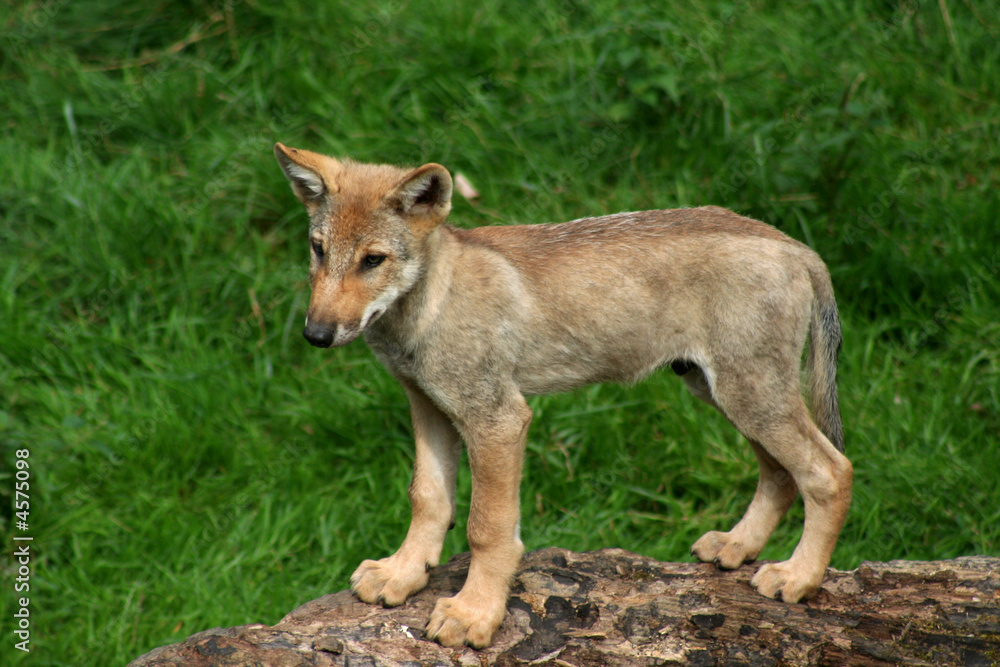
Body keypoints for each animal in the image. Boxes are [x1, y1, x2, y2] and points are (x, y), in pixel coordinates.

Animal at [273, 142, 853, 648]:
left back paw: (798, 578)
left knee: (831, 471)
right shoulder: (428, 408)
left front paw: (474, 614)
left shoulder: (498, 419)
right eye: (318, 250)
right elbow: (428, 499)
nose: (315, 335)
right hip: (725, 395)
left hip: (751, 398)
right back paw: (738, 547)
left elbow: (487, 528)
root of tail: (797, 247)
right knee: (780, 474)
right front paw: (402, 573)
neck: (429, 305)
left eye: (372, 261)